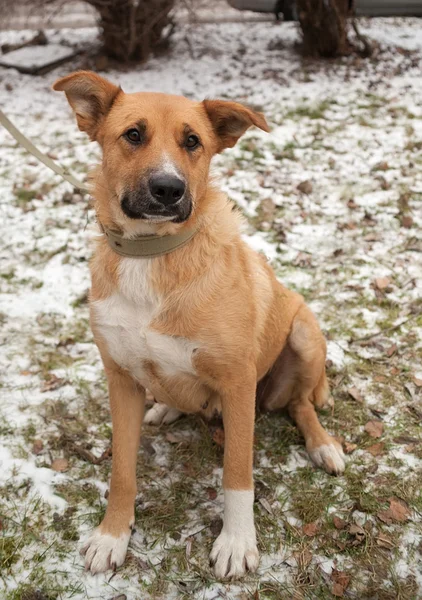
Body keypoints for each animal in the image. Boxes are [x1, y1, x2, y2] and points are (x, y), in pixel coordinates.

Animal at [52, 71, 344, 580]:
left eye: (193, 142)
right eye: (133, 135)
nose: (169, 189)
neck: (153, 254)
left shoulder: (238, 381)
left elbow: (237, 474)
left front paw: (237, 543)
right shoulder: (121, 378)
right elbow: (122, 471)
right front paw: (113, 535)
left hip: (304, 334)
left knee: (301, 403)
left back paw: (323, 445)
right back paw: (166, 408)